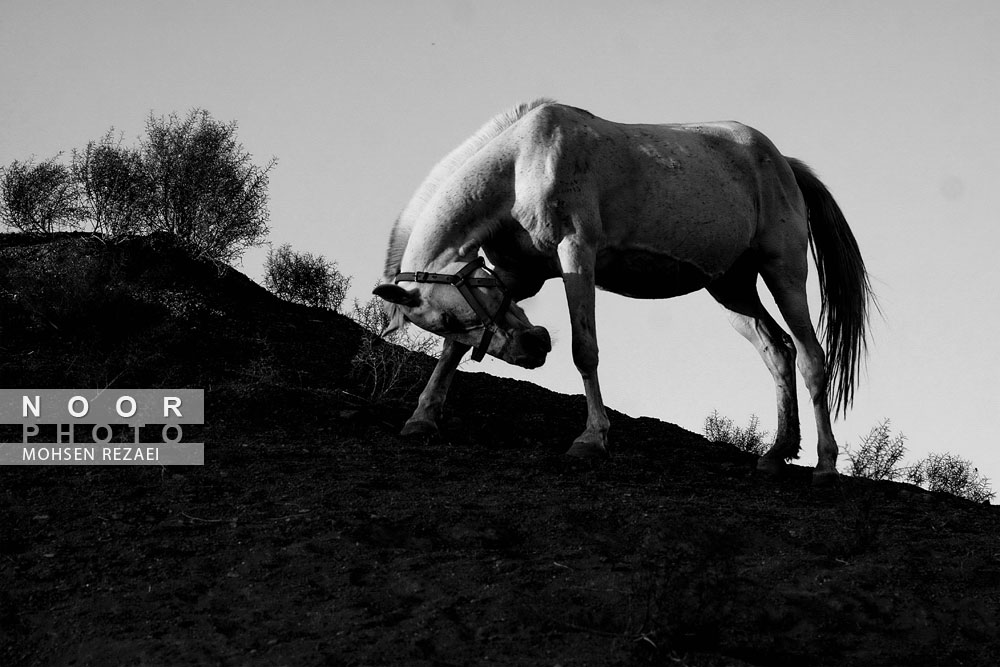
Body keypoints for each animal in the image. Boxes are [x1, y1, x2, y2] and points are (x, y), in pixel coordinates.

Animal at [372, 99, 872, 482]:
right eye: (448, 319)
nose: (534, 348)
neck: (522, 165)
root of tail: (783, 162)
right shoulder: (516, 276)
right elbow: (453, 353)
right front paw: (421, 419)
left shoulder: (576, 255)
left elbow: (585, 350)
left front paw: (591, 440)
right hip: (731, 288)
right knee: (778, 352)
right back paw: (775, 454)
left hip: (783, 271)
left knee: (811, 356)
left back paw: (825, 466)